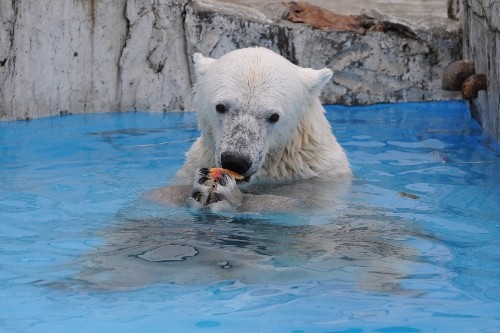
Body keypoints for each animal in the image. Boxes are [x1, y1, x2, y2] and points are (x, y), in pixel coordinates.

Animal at [152, 47, 352, 210]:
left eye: (274, 116)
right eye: (221, 107)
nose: (235, 161)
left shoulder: (316, 177)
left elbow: (296, 203)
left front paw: (231, 195)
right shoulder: (195, 162)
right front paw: (198, 187)